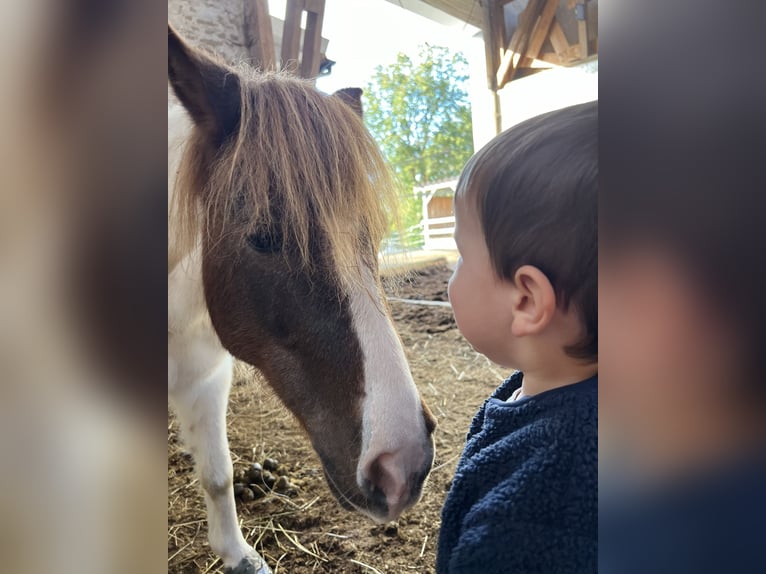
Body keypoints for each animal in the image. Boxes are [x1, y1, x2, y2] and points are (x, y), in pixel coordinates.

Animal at [167, 25, 436, 574]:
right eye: (264, 235)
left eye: (372, 236)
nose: (402, 464)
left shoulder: (206, 379)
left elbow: (218, 475)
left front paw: (238, 556)